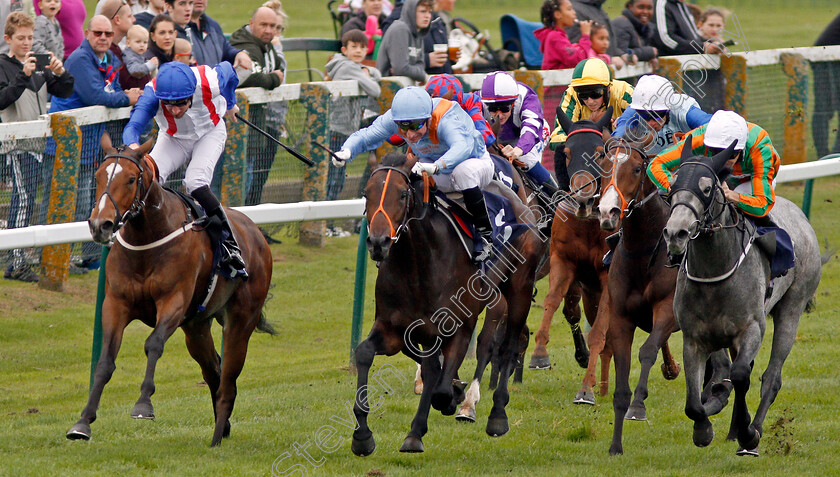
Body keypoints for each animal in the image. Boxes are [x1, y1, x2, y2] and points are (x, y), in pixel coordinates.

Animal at [68, 146, 274, 446]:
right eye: (98, 176)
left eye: (131, 179)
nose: (100, 224)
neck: (147, 238)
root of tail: (256, 233)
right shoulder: (116, 304)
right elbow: (105, 360)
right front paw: (83, 422)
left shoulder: (173, 302)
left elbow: (153, 344)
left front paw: (143, 405)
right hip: (196, 328)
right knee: (214, 370)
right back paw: (222, 428)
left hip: (241, 320)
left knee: (228, 381)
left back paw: (216, 439)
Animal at [350, 152, 540, 454]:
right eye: (367, 194)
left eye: (402, 194)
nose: (378, 243)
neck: (418, 264)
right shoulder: (396, 327)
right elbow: (366, 353)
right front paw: (363, 436)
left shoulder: (460, 327)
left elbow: (440, 389)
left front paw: (453, 398)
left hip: (518, 291)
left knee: (508, 345)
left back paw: (496, 415)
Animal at [596, 139, 684, 454]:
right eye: (603, 166)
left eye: (636, 168)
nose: (607, 212)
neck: (644, 251)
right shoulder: (620, 318)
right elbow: (620, 386)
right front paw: (615, 447)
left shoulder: (667, 310)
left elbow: (647, 350)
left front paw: (638, 406)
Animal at [664, 140, 820, 454]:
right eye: (673, 184)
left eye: (707, 188)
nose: (676, 233)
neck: (714, 271)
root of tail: (799, 215)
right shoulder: (695, 338)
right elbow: (694, 401)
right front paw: (704, 425)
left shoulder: (751, 329)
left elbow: (740, 375)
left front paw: (748, 433)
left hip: (792, 308)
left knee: (770, 377)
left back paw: (751, 430)